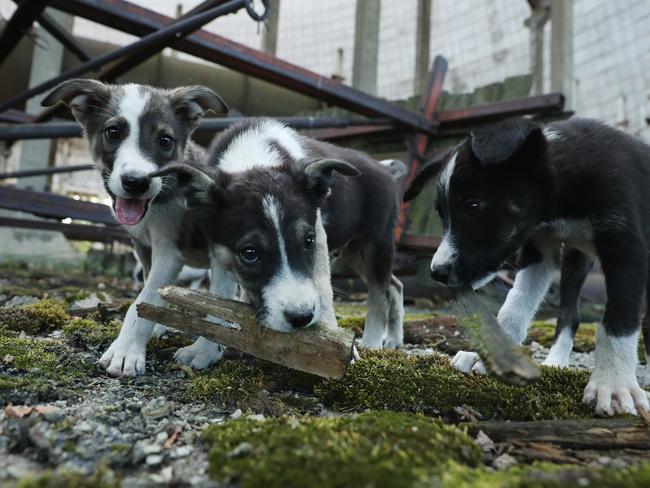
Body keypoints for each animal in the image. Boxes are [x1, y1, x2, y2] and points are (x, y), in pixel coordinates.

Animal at [41, 81, 233, 378]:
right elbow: (150, 297)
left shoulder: (169, 252)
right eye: (113, 132)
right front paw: (156, 327)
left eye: (165, 140)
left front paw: (125, 352)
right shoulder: (144, 249)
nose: (136, 182)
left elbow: (141, 303)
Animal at [154, 120, 402, 348]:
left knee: (380, 295)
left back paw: (371, 343)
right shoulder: (220, 249)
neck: (253, 156)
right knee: (394, 285)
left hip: (376, 242)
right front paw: (203, 352)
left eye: (308, 241)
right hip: (353, 250)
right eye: (250, 253)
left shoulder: (319, 238)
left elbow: (323, 288)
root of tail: (384, 168)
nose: (301, 318)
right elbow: (219, 294)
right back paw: (394, 339)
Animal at [404, 117, 648, 416]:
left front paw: (613, 385)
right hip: (576, 257)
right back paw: (556, 361)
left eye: (474, 205)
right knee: (569, 314)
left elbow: (619, 318)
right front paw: (493, 355)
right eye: (441, 213)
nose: (437, 272)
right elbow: (514, 306)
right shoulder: (539, 248)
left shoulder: (626, 247)